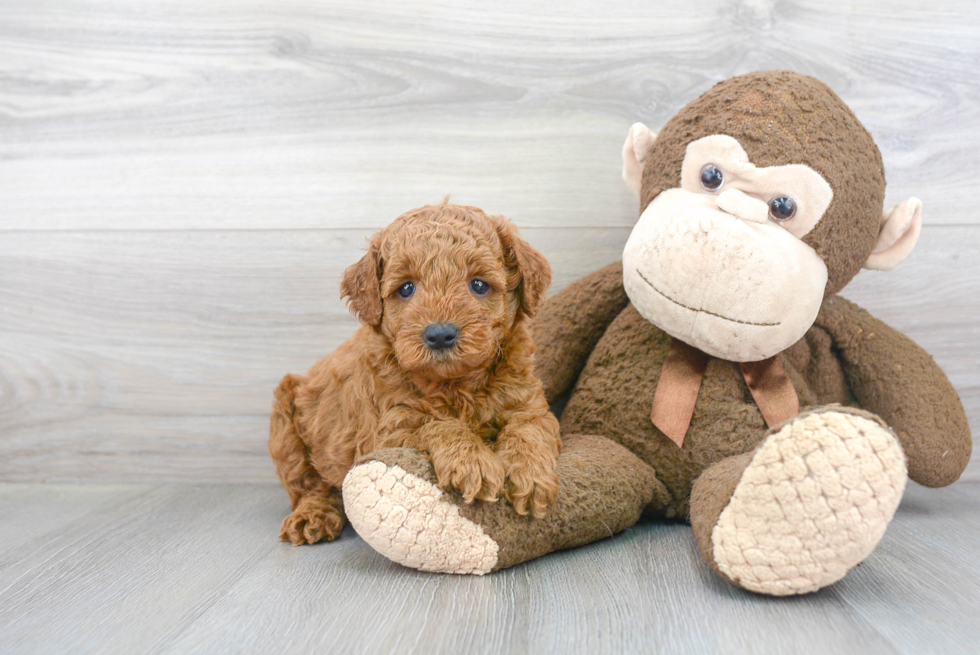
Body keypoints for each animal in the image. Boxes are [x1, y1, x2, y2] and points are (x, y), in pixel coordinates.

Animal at [268, 202, 564, 544]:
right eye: (406, 288)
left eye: (478, 284)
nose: (440, 334)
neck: (456, 384)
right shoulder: (389, 430)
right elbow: (438, 424)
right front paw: (472, 461)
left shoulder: (528, 405)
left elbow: (529, 430)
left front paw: (530, 475)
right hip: (286, 425)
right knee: (307, 485)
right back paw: (312, 515)